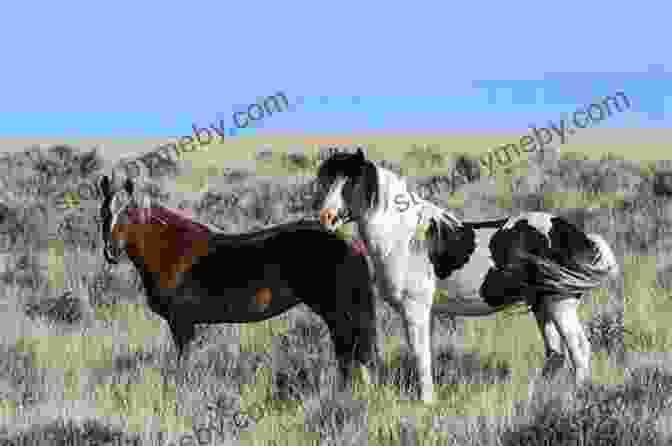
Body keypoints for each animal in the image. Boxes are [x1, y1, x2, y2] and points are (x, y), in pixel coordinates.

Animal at [96, 172, 378, 388]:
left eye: (129, 213)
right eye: (103, 213)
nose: (111, 252)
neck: (171, 250)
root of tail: (350, 242)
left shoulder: (181, 323)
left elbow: (183, 363)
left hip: (336, 310)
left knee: (349, 350)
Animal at [316, 150, 620, 404]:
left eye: (351, 181)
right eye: (329, 181)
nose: (326, 217)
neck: (404, 237)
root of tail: (575, 235)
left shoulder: (415, 309)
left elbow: (420, 355)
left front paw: (427, 402)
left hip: (560, 303)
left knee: (578, 349)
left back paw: (579, 395)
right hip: (542, 305)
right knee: (556, 354)